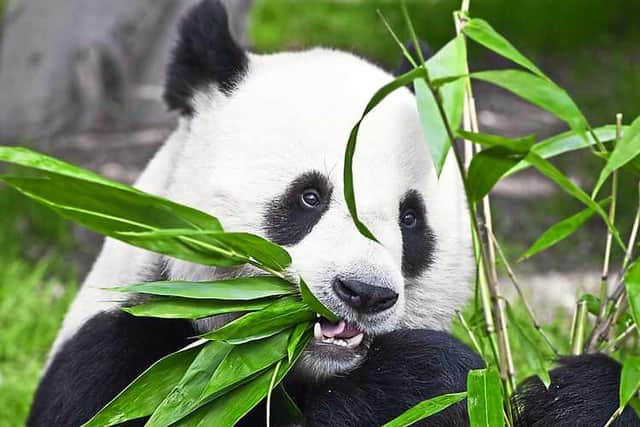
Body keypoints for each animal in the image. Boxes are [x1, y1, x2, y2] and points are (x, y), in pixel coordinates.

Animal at [27, 1, 639, 426]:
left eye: (410, 219)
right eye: (309, 197)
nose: (364, 294)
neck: (308, 368)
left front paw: (581, 391)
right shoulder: (127, 358)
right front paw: (426, 373)